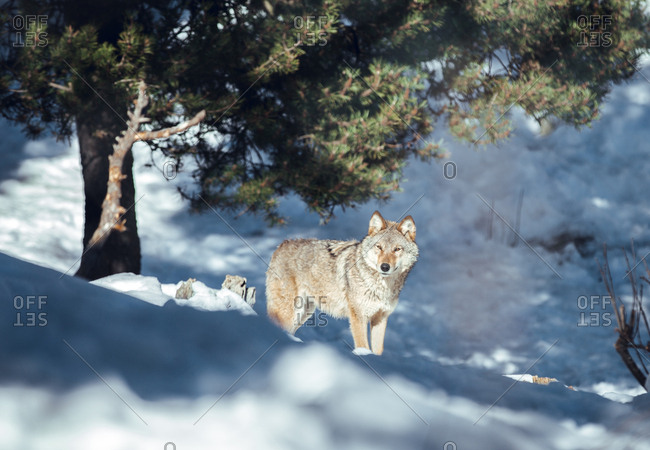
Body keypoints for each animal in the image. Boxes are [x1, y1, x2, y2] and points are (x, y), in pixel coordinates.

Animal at [266, 211, 418, 355]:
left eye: (397, 249)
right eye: (379, 247)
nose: (384, 267)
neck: (382, 286)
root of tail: (282, 244)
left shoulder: (381, 318)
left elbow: (378, 351)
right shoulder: (358, 317)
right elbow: (363, 347)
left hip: (303, 313)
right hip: (288, 312)